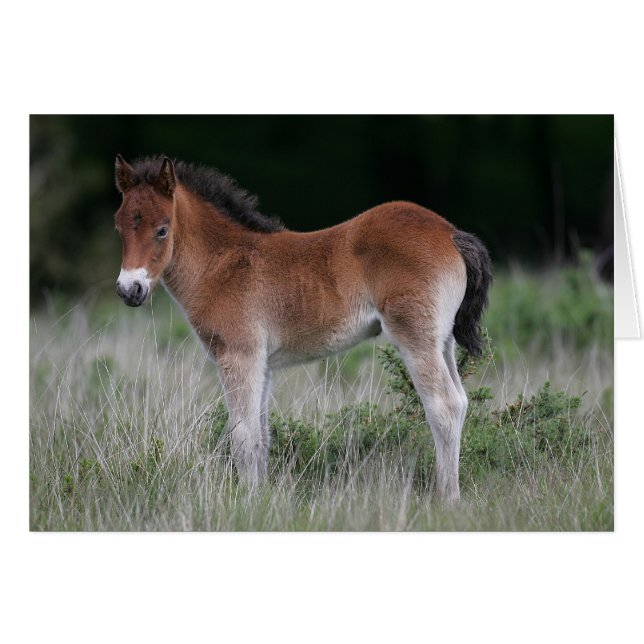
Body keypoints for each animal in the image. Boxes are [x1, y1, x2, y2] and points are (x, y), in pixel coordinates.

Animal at [113, 155, 492, 503]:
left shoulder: (239, 355)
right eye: (119, 228)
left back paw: (446, 500)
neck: (222, 263)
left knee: (443, 406)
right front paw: (260, 499)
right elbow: (261, 435)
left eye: (162, 229)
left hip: (415, 337)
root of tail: (450, 232)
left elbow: (242, 436)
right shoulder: (261, 364)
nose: (129, 290)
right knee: (459, 402)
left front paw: (246, 503)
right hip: (441, 340)